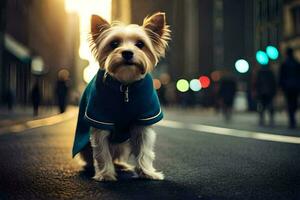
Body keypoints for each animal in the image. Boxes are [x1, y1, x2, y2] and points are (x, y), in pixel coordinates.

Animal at [72, 12, 170, 181]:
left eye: (140, 44)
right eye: (114, 44)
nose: (127, 53)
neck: (125, 84)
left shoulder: (143, 122)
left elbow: (144, 151)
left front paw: (147, 172)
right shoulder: (100, 121)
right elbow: (102, 152)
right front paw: (105, 174)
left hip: (123, 144)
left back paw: (121, 165)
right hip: (85, 147)